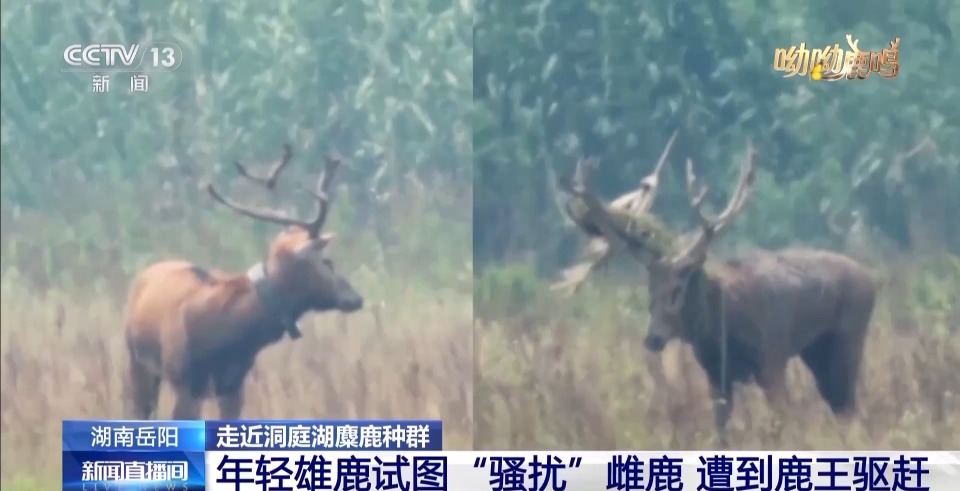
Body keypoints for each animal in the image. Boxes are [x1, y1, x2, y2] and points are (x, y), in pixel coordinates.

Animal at [123, 144, 364, 420]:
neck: (230, 334)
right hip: (137, 362)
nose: (356, 298)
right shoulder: (186, 383)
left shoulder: (234, 385)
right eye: (327, 261)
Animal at [557, 137, 879, 445]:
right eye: (650, 289)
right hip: (816, 351)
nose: (653, 337)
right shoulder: (716, 377)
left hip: (849, 338)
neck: (725, 327)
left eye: (680, 285)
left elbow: (781, 425)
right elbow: (721, 434)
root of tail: (871, 279)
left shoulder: (772, 359)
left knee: (849, 406)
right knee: (841, 407)